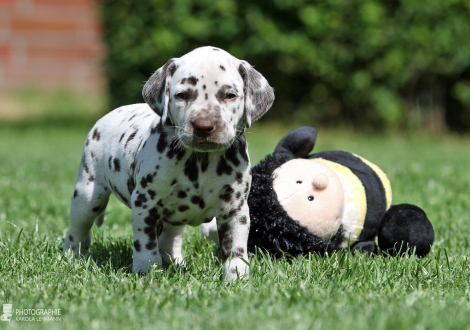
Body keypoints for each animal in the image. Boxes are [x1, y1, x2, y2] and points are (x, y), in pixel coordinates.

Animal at [64, 45, 274, 280]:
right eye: (182, 95)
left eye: (230, 95)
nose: (204, 126)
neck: (199, 163)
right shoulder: (145, 204)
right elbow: (145, 244)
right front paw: (146, 270)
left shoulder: (235, 210)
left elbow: (235, 248)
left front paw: (236, 276)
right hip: (88, 196)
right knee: (77, 230)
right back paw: (72, 257)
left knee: (170, 238)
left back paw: (175, 262)